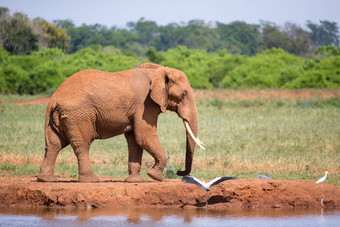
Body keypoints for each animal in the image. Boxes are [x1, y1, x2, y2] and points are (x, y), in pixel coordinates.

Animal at [36, 62, 205, 183]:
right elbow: (144, 137)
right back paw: (91, 180)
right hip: (78, 115)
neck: (158, 71)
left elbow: (134, 140)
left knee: (54, 144)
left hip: (60, 117)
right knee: (82, 145)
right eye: (183, 95)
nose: (178, 172)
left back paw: (46, 180)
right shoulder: (145, 105)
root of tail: (54, 98)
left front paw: (136, 181)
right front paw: (154, 176)